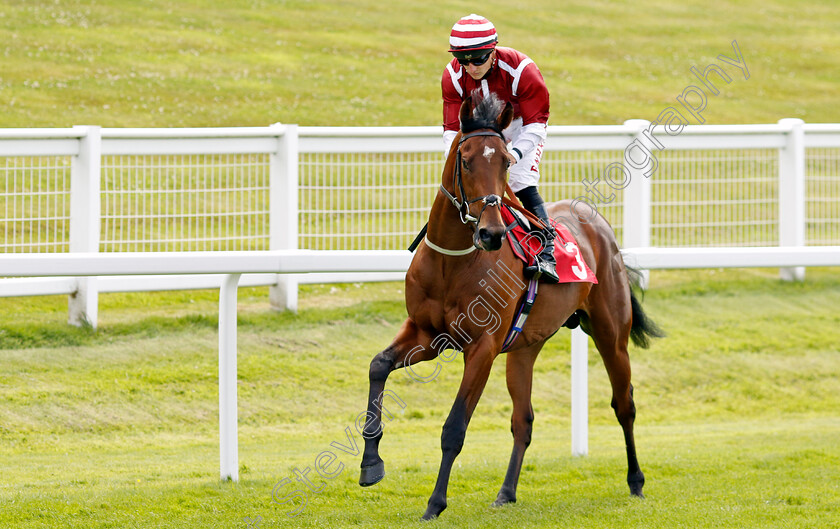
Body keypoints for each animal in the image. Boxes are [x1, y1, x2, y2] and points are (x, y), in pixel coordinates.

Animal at [354, 92, 664, 520]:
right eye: (466, 159)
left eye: (505, 161)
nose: (492, 232)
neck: (453, 261)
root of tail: (598, 224)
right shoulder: (426, 334)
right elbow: (378, 366)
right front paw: (370, 463)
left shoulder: (481, 347)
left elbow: (454, 427)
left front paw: (435, 503)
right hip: (525, 347)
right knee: (524, 420)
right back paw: (506, 491)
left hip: (610, 333)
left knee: (624, 404)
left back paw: (636, 481)